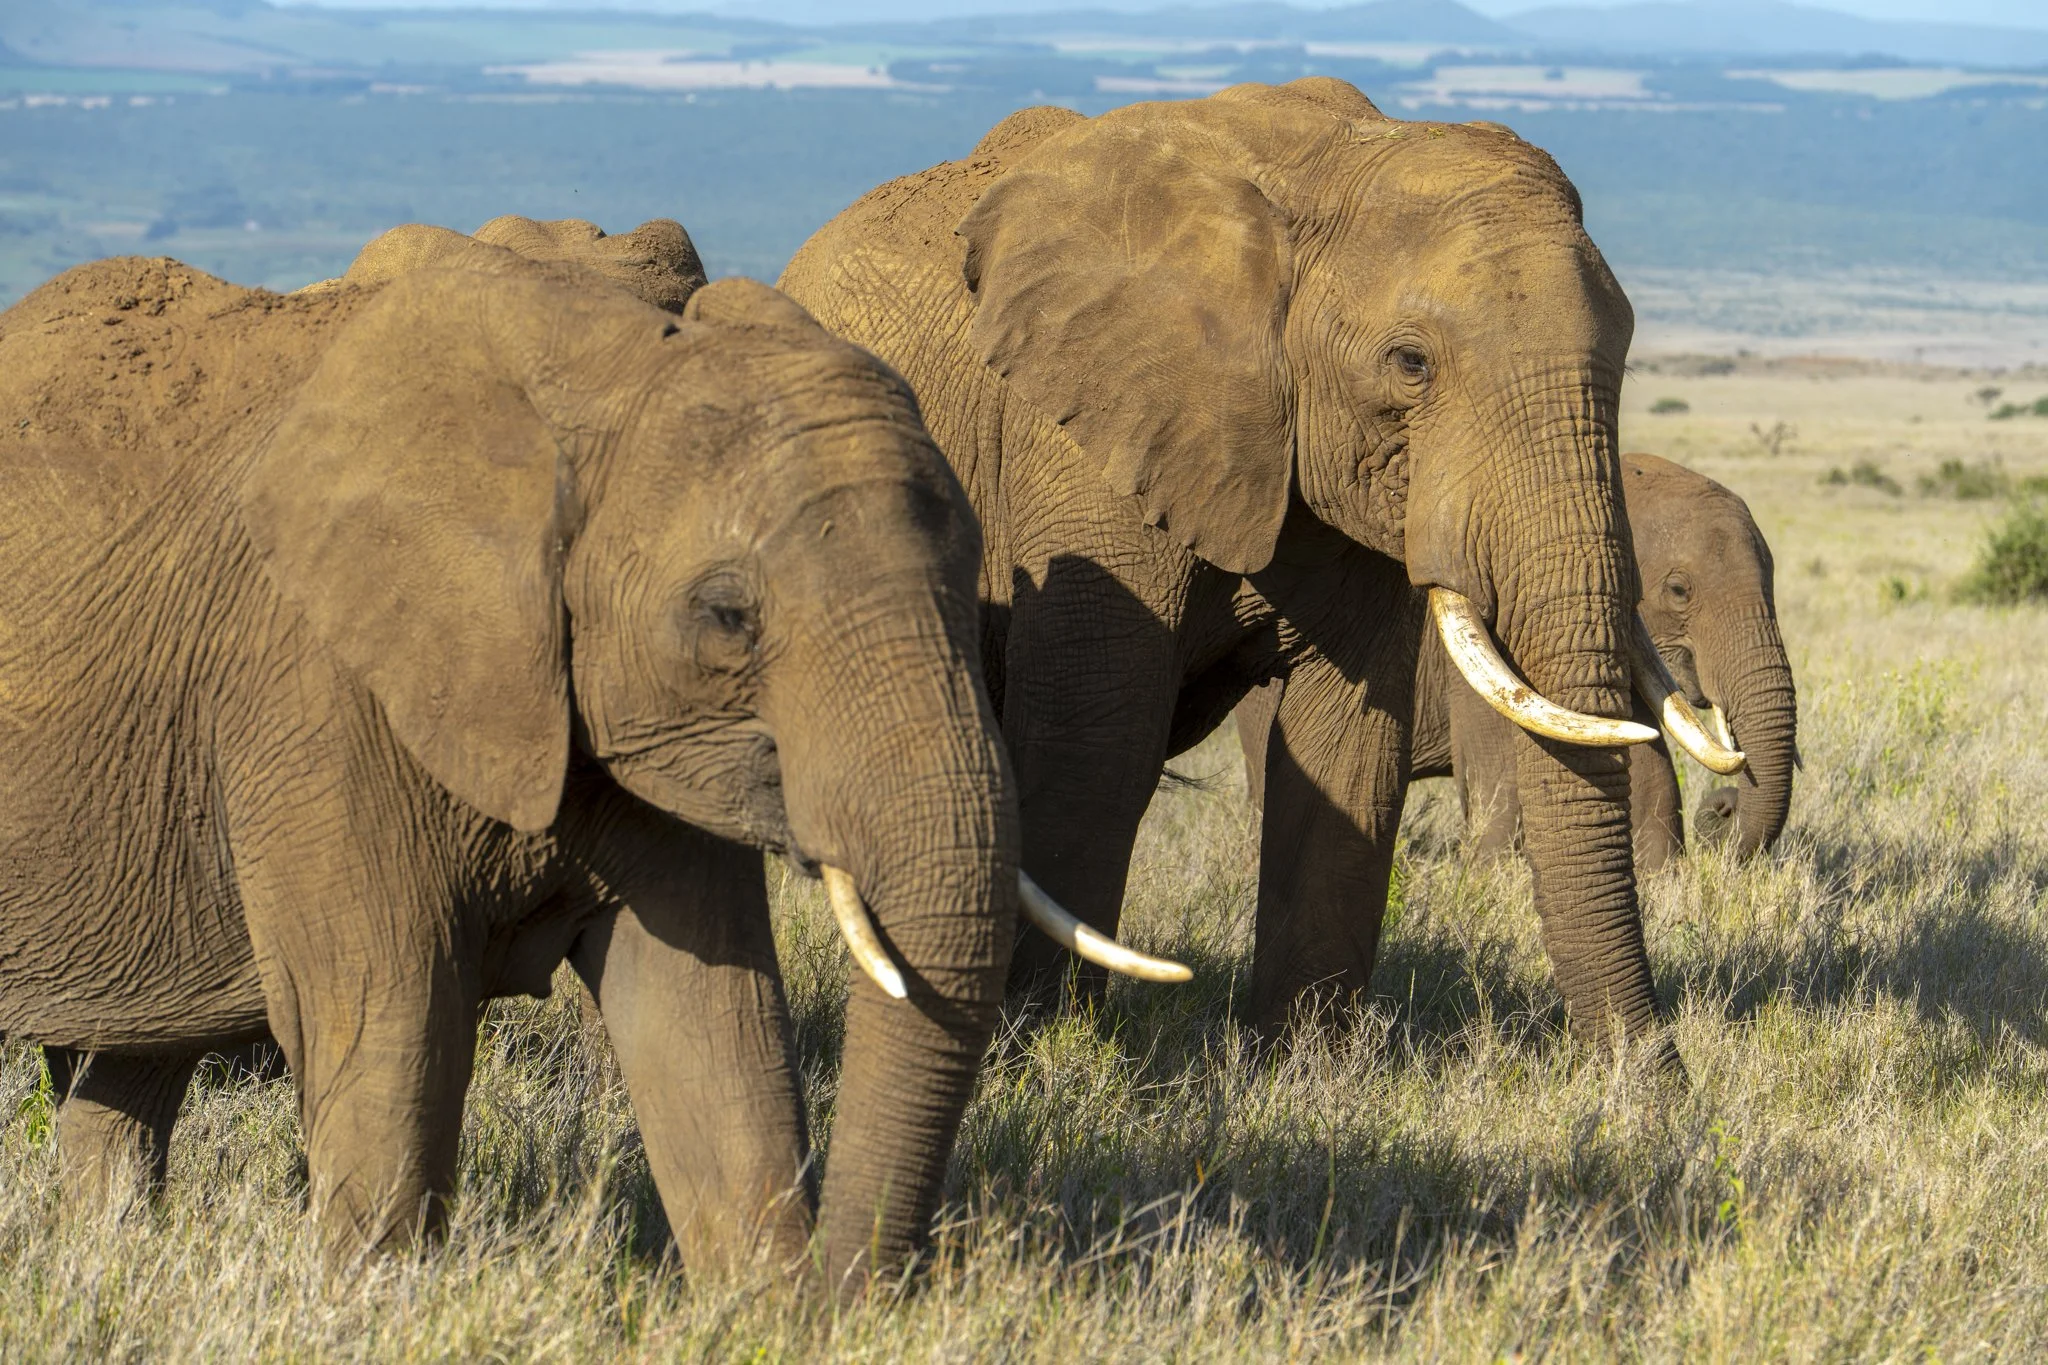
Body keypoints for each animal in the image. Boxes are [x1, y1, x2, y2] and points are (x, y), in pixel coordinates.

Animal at [0, 238, 1163, 1290]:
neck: (598, 386)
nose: (867, 1290)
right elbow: (390, 1027)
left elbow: (709, 1016)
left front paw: (767, 1316)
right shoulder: (312, 700)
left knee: (124, 1072)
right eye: (727, 615)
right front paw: (372, 1311)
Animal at [780, 78, 1739, 1049]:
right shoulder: (1081, 443)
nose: (1657, 1068)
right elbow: (1096, 734)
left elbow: (1348, 743)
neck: (1332, 167)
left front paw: (1305, 1060)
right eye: (1411, 363)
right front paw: (1044, 1043)